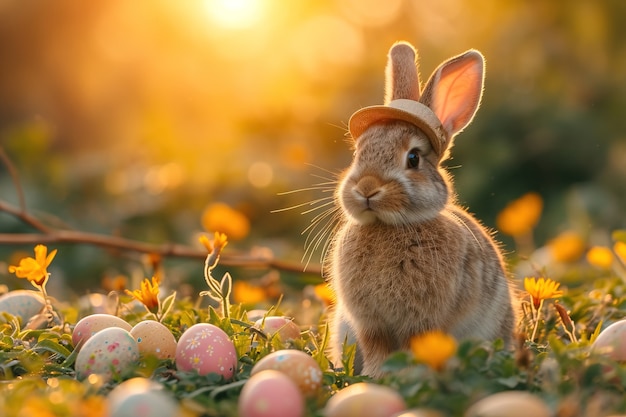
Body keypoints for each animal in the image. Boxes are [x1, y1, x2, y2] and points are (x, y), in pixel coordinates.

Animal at [324, 41, 516, 376]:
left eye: (413, 158)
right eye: (358, 153)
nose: (367, 188)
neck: (387, 226)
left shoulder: (420, 322)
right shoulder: (371, 325)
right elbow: (377, 350)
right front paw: (374, 376)